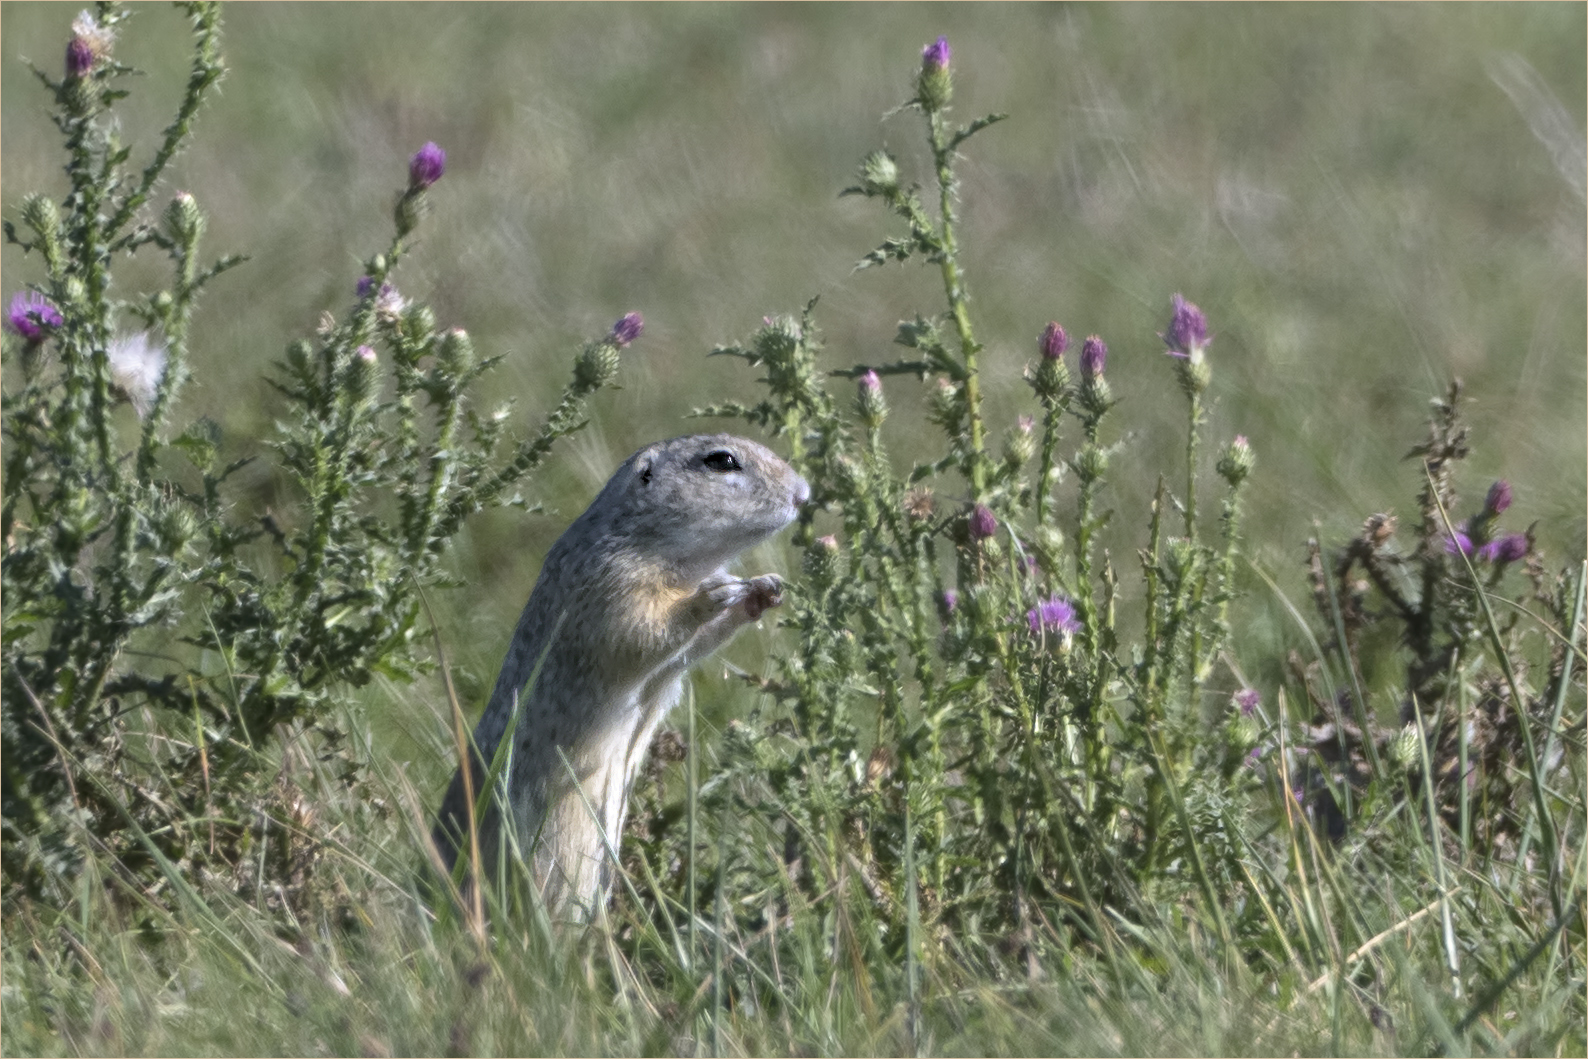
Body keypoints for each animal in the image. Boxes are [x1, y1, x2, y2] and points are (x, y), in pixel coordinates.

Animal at [435, 435, 806, 914]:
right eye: (722, 461)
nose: (804, 494)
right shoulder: (612, 584)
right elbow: (640, 633)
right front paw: (712, 597)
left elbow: (692, 645)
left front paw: (762, 590)